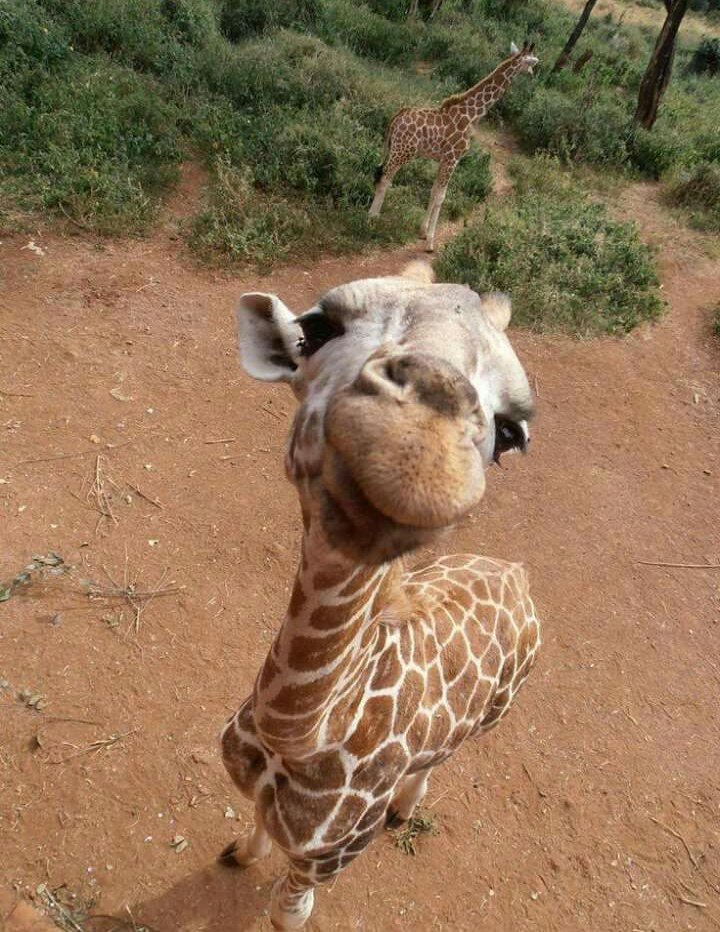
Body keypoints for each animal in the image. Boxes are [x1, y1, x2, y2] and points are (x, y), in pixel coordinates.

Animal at [220, 261, 541, 930]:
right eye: (315, 329)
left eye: (511, 432)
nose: (418, 451)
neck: (301, 739)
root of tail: (516, 572)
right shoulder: (261, 801)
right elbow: (256, 825)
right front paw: (240, 852)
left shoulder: (328, 859)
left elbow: (287, 914)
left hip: (496, 715)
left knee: (447, 756)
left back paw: (404, 807)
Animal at [369, 42, 539, 252]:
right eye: (532, 61)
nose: (533, 73)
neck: (472, 114)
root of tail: (395, 119)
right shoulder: (453, 158)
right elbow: (441, 196)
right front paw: (431, 242)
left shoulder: (443, 159)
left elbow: (434, 191)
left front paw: (423, 231)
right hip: (403, 151)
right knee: (385, 177)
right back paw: (372, 218)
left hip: (393, 147)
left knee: (380, 174)